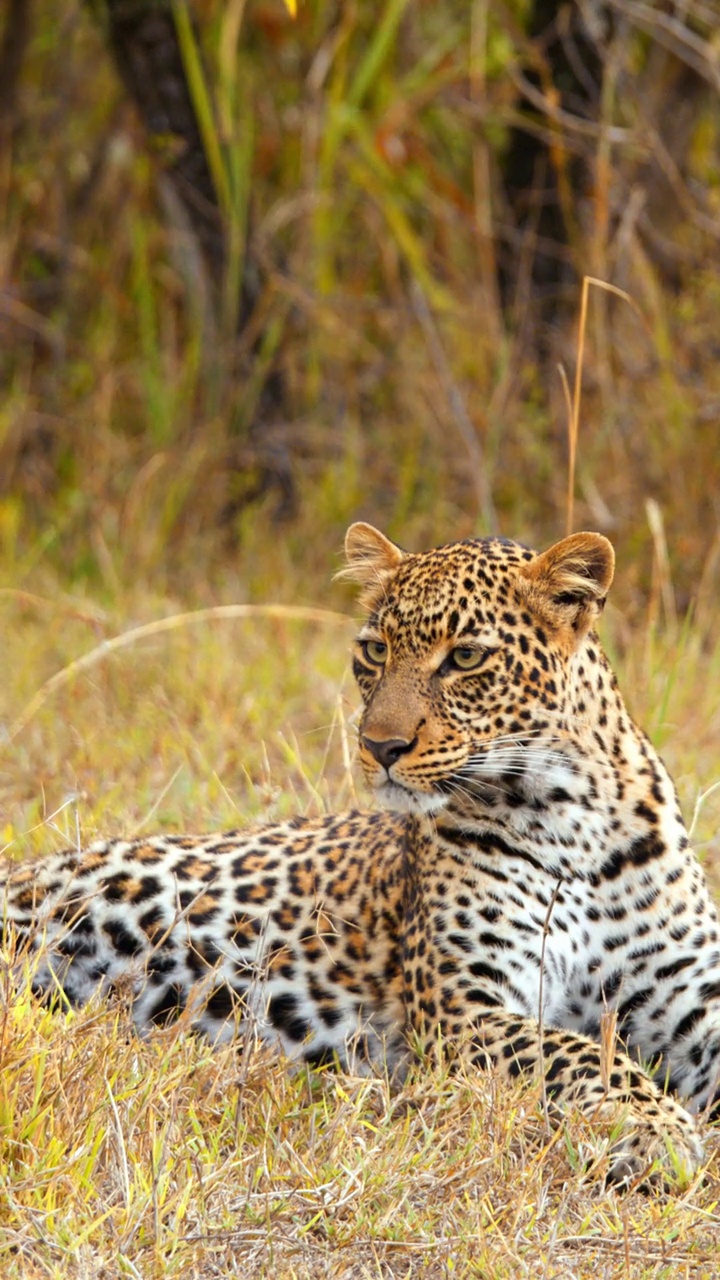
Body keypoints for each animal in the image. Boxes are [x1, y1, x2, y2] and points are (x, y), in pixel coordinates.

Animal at [2, 517, 712, 1177]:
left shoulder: (694, 1000)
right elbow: (582, 1052)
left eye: (465, 658)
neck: (571, 818)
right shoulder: (461, 1009)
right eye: (374, 650)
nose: (380, 746)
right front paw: (657, 1130)